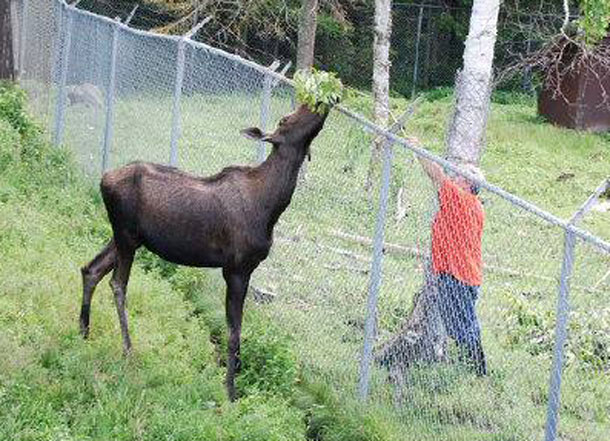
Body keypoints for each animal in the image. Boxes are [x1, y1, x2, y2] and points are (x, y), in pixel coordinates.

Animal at [80, 103, 330, 398]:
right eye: (285, 119)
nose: (321, 102)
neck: (271, 206)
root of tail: (103, 179)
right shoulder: (236, 268)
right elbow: (233, 331)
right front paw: (230, 391)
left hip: (126, 237)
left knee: (91, 269)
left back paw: (83, 332)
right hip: (126, 236)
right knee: (117, 283)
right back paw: (128, 349)